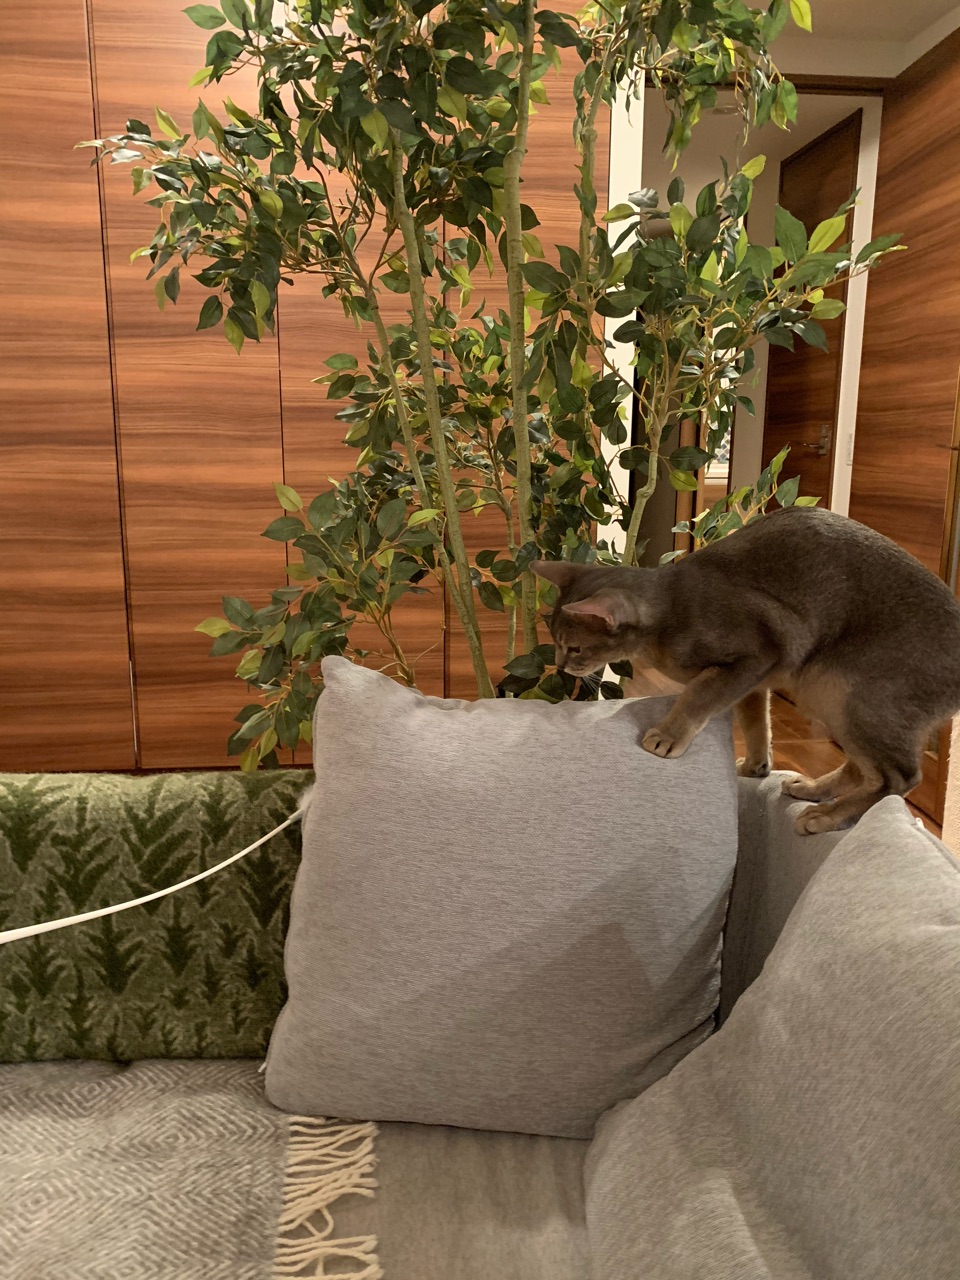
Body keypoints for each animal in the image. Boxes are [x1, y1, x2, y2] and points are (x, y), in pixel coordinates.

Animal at [534, 506, 960, 835]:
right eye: (554, 639)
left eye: (573, 647)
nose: (560, 664)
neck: (670, 607)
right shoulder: (755, 681)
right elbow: (756, 722)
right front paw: (758, 766)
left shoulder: (757, 654)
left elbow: (699, 694)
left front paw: (667, 736)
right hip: (829, 695)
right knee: (863, 767)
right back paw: (812, 789)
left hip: (842, 688)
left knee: (899, 777)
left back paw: (825, 815)